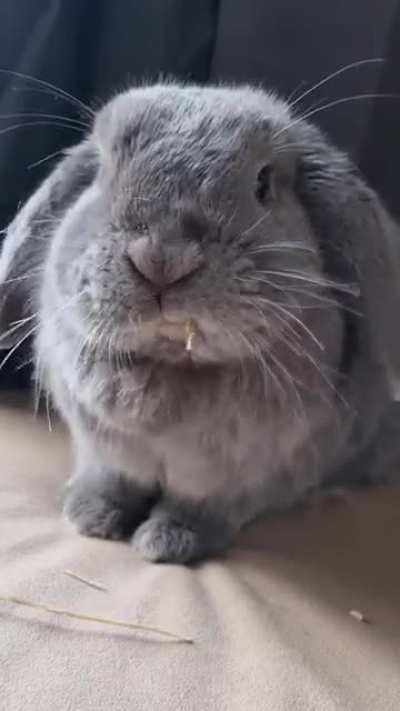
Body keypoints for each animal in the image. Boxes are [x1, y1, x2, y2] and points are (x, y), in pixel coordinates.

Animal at [1, 82, 400, 564]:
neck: (168, 371)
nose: (162, 259)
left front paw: (169, 542)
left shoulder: (242, 476)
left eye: (264, 184)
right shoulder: (105, 449)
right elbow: (111, 479)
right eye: (102, 170)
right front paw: (91, 517)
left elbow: (199, 505)